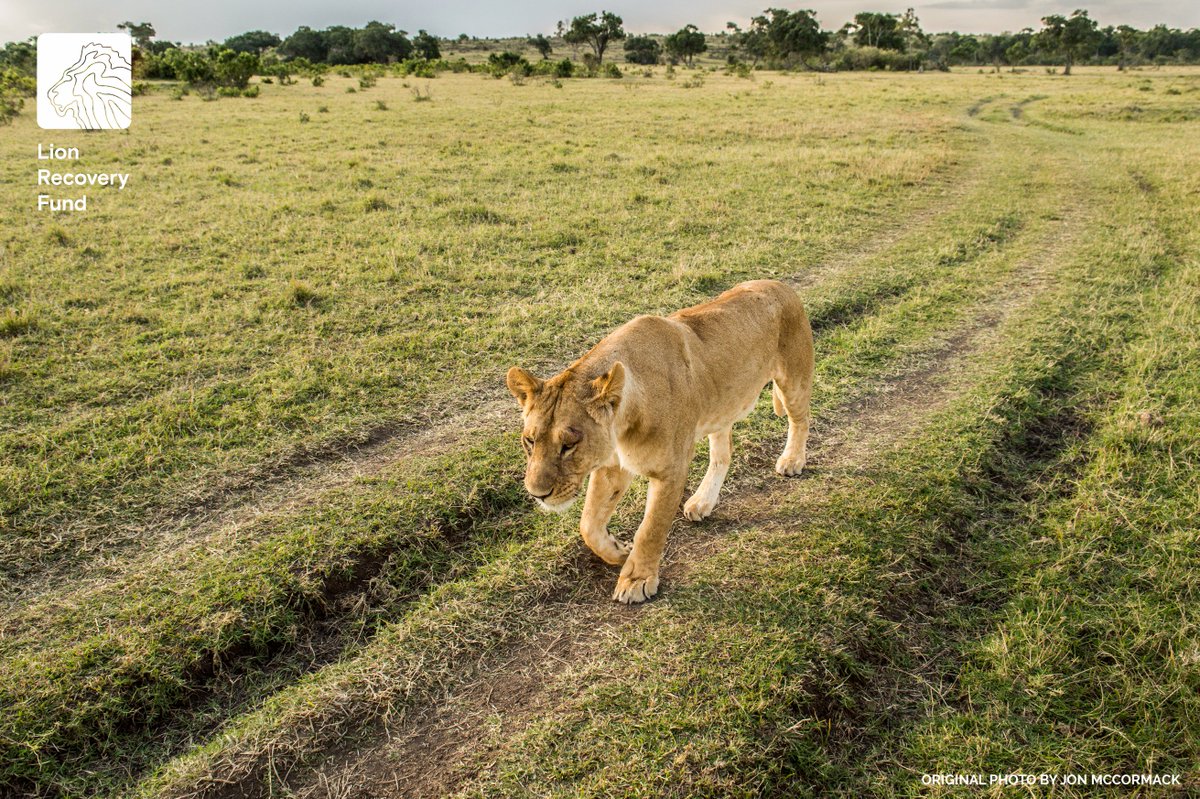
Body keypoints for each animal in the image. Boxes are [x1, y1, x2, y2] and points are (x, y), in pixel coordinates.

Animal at [506, 279, 814, 604]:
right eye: (529, 441)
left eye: (569, 445)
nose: (538, 494)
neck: (623, 424)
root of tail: (777, 283)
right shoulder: (613, 466)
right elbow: (588, 523)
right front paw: (618, 552)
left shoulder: (670, 470)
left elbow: (650, 528)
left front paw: (636, 579)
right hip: (721, 405)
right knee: (723, 453)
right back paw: (703, 501)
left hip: (794, 380)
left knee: (801, 419)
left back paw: (792, 460)